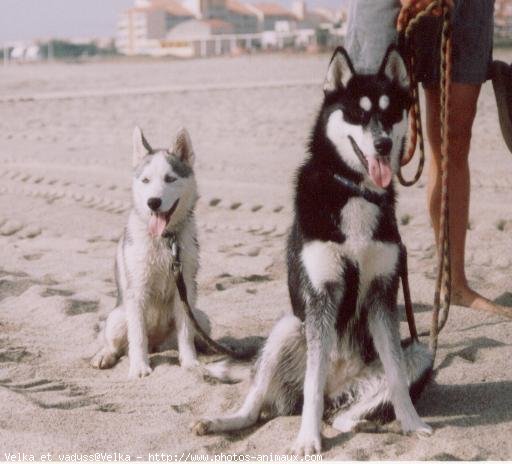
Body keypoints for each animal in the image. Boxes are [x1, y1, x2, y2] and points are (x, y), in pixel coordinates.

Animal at [91, 126, 209, 376]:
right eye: (145, 180)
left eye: (170, 179)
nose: (153, 202)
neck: (164, 240)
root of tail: (157, 344)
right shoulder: (136, 292)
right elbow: (137, 337)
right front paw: (139, 367)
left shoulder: (184, 290)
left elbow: (186, 335)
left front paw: (189, 362)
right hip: (117, 317)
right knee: (117, 344)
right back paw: (105, 355)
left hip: (200, 316)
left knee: (195, 335)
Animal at [194, 47, 434, 454]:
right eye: (357, 113)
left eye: (390, 113)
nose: (384, 145)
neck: (354, 189)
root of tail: (340, 386)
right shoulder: (320, 296)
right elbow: (312, 384)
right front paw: (307, 438)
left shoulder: (382, 294)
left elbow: (397, 376)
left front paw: (412, 422)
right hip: (290, 325)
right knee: (259, 402)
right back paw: (223, 421)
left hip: (419, 350)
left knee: (343, 412)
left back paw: (363, 422)